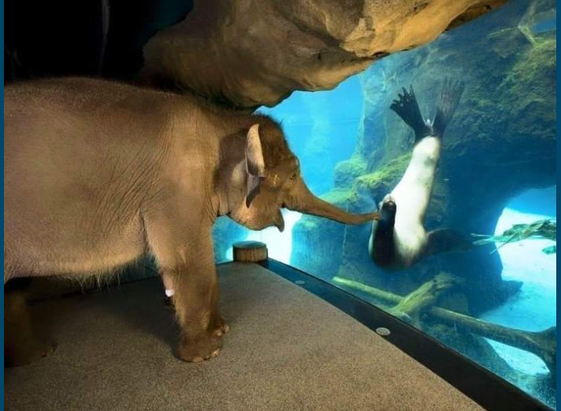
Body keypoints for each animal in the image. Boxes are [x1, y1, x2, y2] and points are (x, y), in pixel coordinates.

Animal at [4, 75, 378, 366]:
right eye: (293, 174)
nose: (379, 211)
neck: (219, 120)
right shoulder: (174, 190)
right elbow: (191, 264)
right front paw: (206, 353)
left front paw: (221, 328)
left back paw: (37, 354)